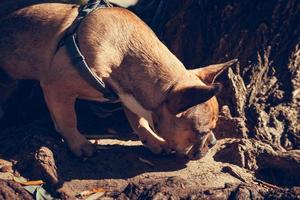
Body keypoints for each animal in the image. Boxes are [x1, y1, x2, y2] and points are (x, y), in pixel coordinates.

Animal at [0, 2, 237, 159]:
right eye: (200, 133)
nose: (213, 142)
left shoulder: (129, 96)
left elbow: (138, 121)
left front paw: (153, 141)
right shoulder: (57, 86)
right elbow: (69, 119)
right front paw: (78, 143)